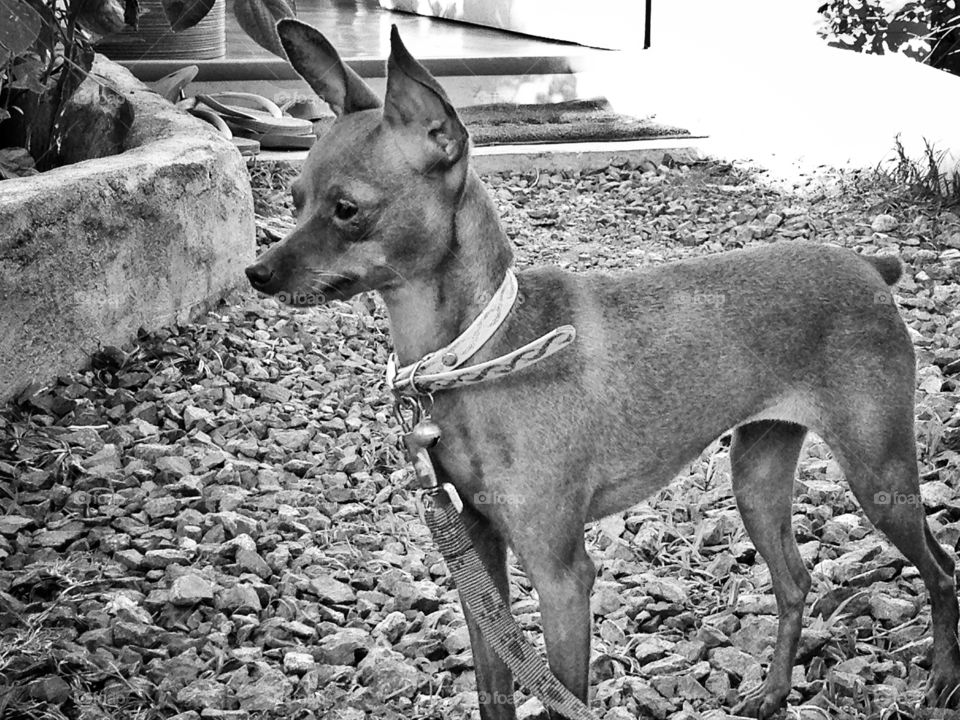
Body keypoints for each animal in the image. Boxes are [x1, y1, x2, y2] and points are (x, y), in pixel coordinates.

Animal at [246, 19, 960, 716]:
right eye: (295, 198)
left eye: (347, 210)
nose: (256, 273)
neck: (479, 351)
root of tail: (868, 266)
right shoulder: (479, 555)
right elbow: (494, 690)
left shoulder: (561, 575)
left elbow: (565, 696)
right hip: (757, 474)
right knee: (795, 580)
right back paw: (775, 693)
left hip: (879, 477)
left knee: (942, 569)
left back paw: (941, 681)